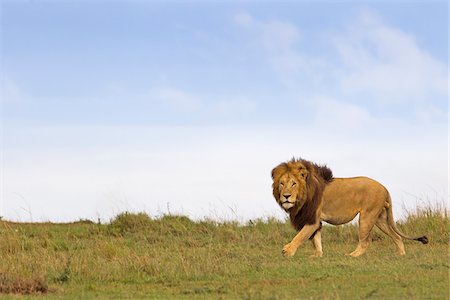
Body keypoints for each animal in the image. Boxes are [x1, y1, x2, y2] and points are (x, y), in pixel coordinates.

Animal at [272, 159, 428, 258]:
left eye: (293, 184)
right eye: (281, 184)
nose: (286, 196)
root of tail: (384, 187)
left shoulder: (313, 219)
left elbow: (301, 236)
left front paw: (288, 251)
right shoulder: (314, 220)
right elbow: (316, 239)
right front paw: (318, 255)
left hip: (367, 216)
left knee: (366, 241)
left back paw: (352, 255)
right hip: (380, 218)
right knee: (396, 236)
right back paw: (401, 254)